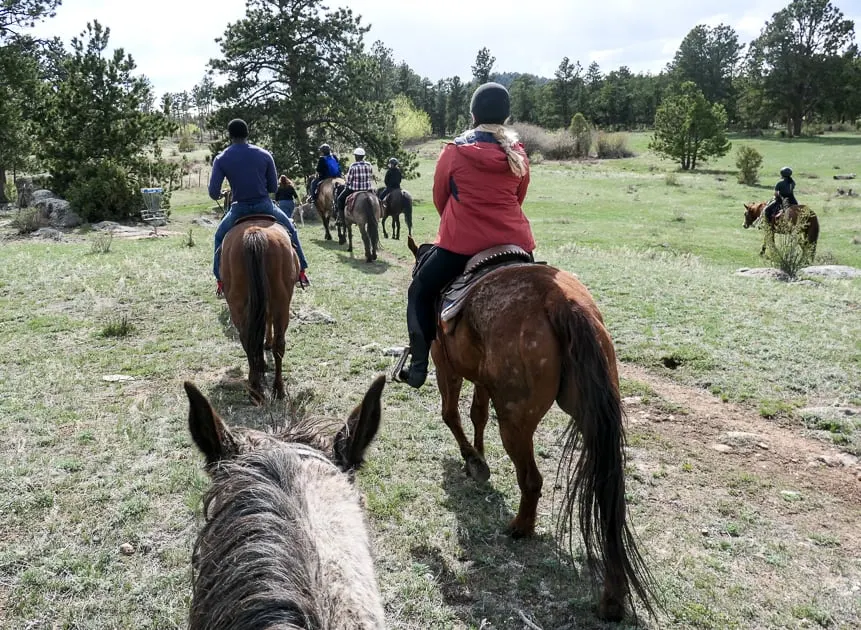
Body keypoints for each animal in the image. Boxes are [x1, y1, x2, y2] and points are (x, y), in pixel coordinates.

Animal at [220, 217, 298, 404]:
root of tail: (254, 233)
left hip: (238, 304)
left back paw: (256, 389)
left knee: (248, 341)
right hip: (281, 302)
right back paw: (277, 389)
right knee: (278, 343)